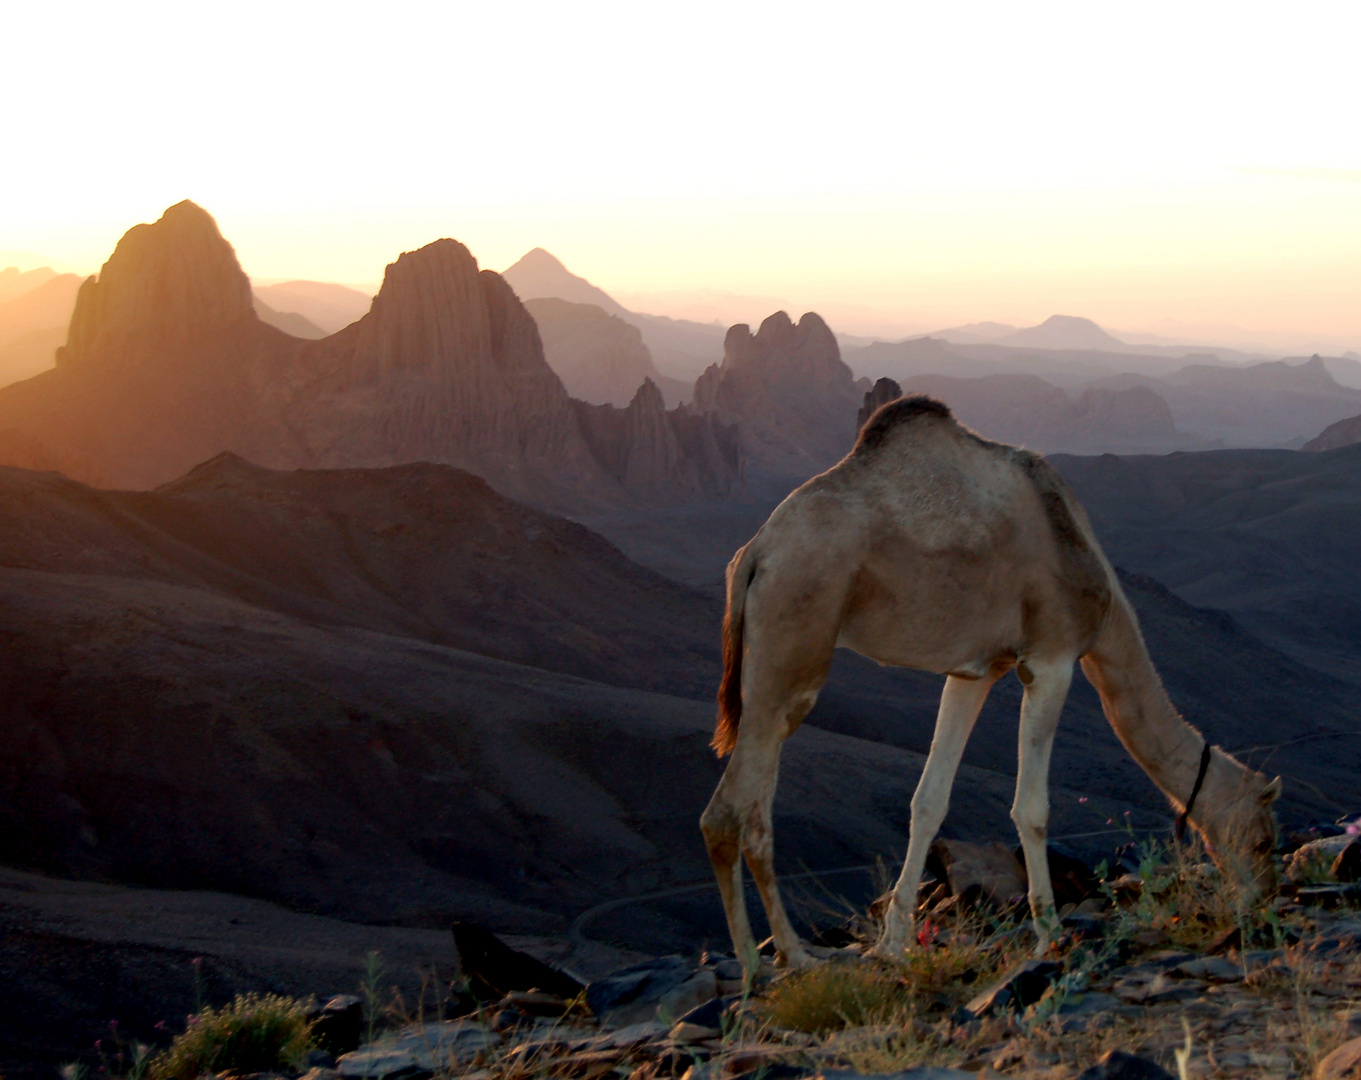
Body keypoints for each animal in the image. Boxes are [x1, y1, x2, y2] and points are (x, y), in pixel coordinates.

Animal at [702, 391, 1273, 963]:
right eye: (1263, 834)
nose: (1263, 897)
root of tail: (754, 555)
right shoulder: (1052, 658)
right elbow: (1032, 808)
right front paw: (1049, 932)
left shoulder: (975, 671)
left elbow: (929, 801)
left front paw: (894, 943)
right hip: (793, 632)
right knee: (727, 812)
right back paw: (768, 964)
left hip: (775, 664)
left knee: (755, 811)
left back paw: (788, 955)